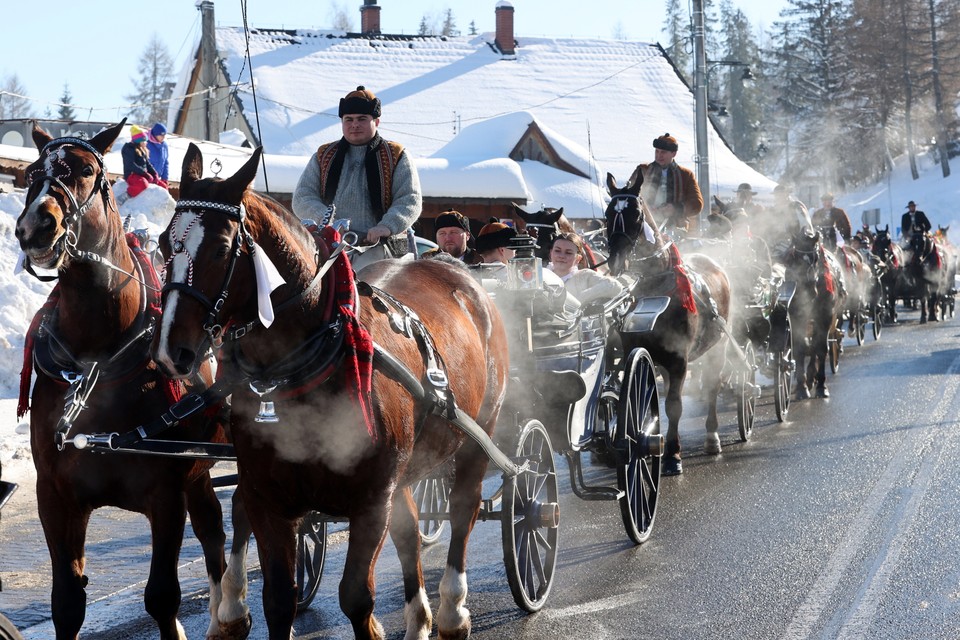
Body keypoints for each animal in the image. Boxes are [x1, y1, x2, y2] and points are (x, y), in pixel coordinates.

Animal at [15, 121, 229, 640]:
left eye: (87, 172)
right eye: (32, 173)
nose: (37, 226)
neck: (97, 361)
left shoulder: (166, 495)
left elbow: (162, 597)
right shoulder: (55, 495)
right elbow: (67, 603)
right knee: (214, 531)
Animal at [152, 145, 510, 640]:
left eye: (223, 248)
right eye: (164, 244)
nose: (172, 351)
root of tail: (455, 269)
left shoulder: (371, 500)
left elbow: (356, 597)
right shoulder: (268, 497)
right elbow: (278, 599)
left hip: (480, 434)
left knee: (463, 509)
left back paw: (452, 610)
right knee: (409, 528)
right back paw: (418, 616)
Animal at [604, 175, 732, 476]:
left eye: (636, 214)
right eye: (607, 215)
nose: (615, 262)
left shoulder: (678, 359)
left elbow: (674, 406)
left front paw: (673, 454)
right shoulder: (642, 355)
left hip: (718, 346)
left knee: (712, 385)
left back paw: (712, 436)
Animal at [780, 228, 848, 398]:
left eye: (816, 258)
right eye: (795, 258)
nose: (809, 288)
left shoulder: (825, 317)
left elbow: (821, 348)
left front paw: (821, 385)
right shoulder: (796, 317)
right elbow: (800, 348)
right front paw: (802, 387)